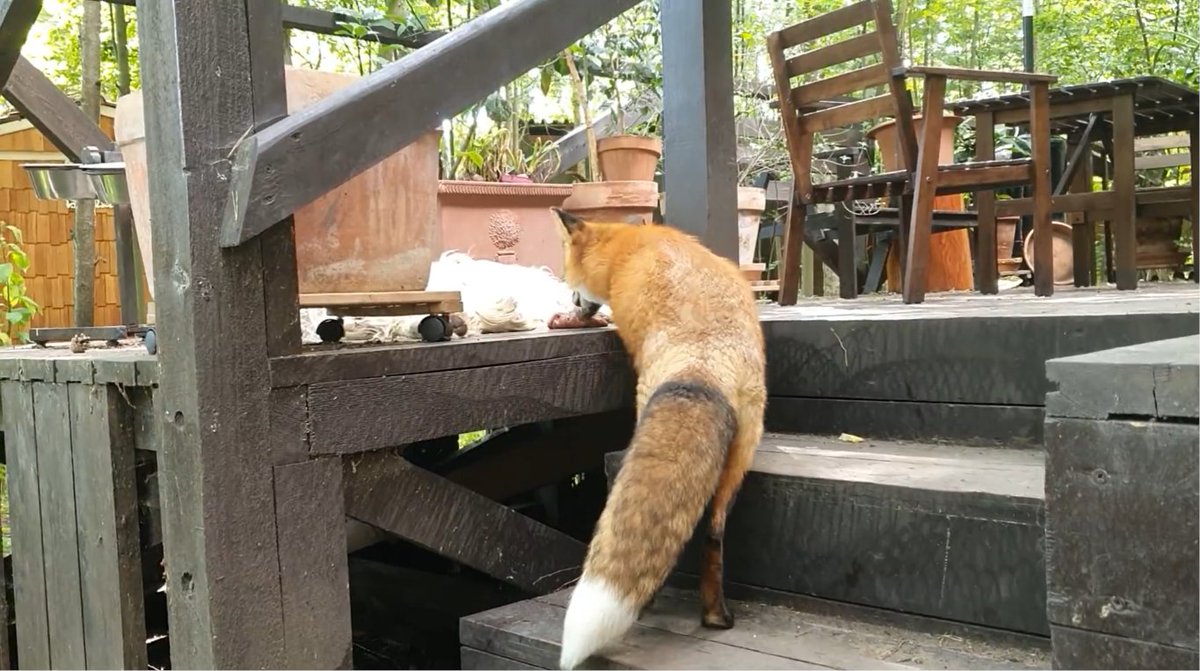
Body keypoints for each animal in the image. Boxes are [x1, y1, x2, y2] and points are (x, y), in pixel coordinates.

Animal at [550, 207, 767, 670]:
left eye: (570, 277)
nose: (573, 304)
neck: (632, 247)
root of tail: (701, 370)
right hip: (738, 463)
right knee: (713, 535)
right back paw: (715, 617)